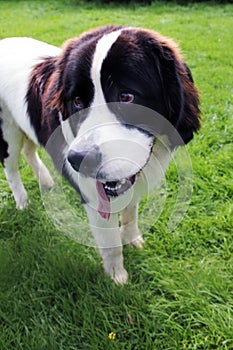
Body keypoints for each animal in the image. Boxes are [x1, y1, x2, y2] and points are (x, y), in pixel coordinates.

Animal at [0, 26, 200, 284]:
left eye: (126, 96)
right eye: (77, 101)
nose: (78, 160)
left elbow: (131, 213)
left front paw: (132, 238)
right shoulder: (94, 197)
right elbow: (111, 242)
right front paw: (117, 277)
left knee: (28, 150)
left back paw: (45, 181)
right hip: (8, 133)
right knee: (12, 168)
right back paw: (22, 201)